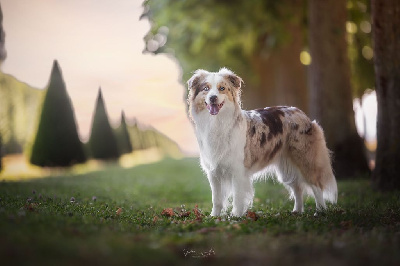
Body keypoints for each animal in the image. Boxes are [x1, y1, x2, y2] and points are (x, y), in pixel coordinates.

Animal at [188, 67, 338, 217]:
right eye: (206, 88)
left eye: (222, 88)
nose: (213, 98)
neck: (217, 123)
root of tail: (301, 113)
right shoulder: (214, 172)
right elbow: (217, 199)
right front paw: (214, 216)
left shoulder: (238, 170)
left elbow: (238, 196)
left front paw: (235, 216)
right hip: (286, 167)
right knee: (298, 188)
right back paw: (297, 211)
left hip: (304, 159)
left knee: (316, 185)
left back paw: (320, 211)